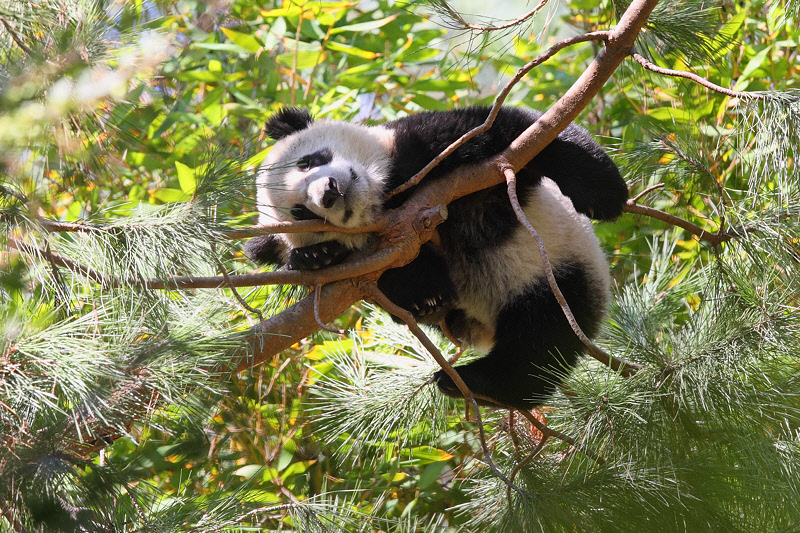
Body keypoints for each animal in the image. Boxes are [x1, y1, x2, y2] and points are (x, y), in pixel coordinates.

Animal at [247, 106, 628, 410]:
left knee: (547, 331)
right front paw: (316, 256)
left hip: (561, 266)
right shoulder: (383, 251)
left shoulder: (424, 146)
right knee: (537, 345)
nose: (328, 192)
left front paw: (603, 193)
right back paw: (476, 381)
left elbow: (520, 131)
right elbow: (393, 274)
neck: (390, 200)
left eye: (309, 161)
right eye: (300, 213)